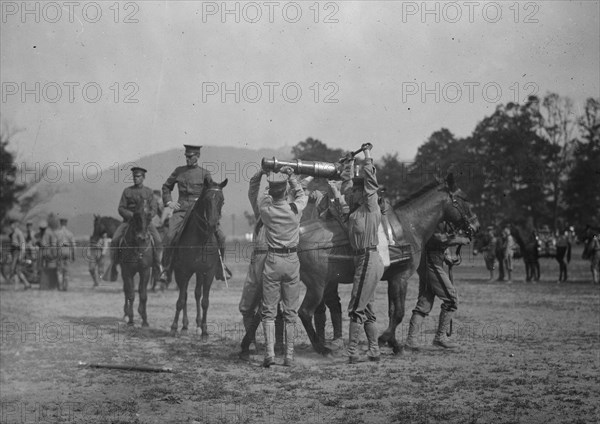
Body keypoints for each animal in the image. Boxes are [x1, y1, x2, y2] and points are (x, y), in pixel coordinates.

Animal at [170, 177, 229, 340]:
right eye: (207, 200)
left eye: (222, 201)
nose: (213, 225)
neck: (201, 240)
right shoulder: (183, 271)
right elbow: (181, 300)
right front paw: (174, 328)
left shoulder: (208, 273)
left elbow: (205, 301)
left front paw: (204, 331)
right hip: (182, 272)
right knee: (184, 295)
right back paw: (184, 326)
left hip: (199, 273)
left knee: (197, 294)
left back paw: (196, 326)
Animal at [298, 174, 480, 356]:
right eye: (464, 199)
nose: (476, 226)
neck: (409, 226)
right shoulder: (401, 277)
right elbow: (399, 313)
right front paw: (385, 339)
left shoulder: (392, 279)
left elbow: (392, 312)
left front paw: (393, 343)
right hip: (317, 286)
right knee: (305, 312)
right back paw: (321, 348)